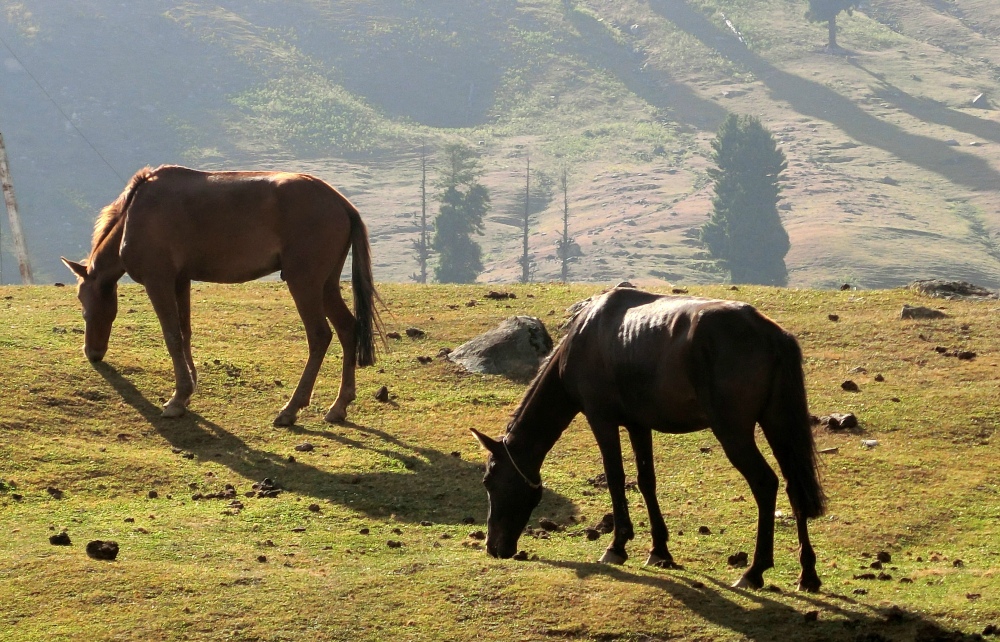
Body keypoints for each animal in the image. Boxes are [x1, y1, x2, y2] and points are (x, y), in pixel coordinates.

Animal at [63, 165, 382, 424]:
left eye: (82, 301)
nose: (92, 352)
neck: (138, 211)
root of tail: (340, 203)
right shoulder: (181, 280)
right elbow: (184, 332)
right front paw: (188, 388)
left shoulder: (159, 281)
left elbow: (171, 335)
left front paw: (177, 399)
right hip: (326, 285)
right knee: (347, 329)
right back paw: (339, 406)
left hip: (305, 283)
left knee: (319, 337)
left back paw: (291, 409)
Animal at [474, 284, 828, 592]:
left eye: (490, 482)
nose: (493, 547)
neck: (584, 338)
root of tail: (772, 335)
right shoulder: (638, 425)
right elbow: (646, 481)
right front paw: (659, 550)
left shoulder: (601, 420)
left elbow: (615, 478)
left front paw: (617, 546)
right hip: (778, 425)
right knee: (795, 488)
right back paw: (807, 574)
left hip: (734, 432)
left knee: (765, 484)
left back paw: (754, 571)